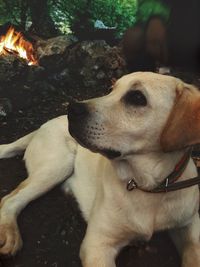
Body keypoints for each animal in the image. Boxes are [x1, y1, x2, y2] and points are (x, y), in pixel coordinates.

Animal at [0, 72, 200, 266]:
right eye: (110, 90)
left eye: (137, 97)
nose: (72, 109)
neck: (146, 186)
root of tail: (43, 126)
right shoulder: (97, 245)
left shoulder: (190, 224)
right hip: (58, 164)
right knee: (9, 199)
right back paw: (9, 233)